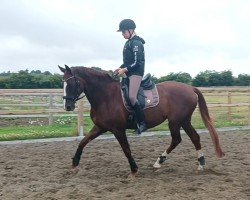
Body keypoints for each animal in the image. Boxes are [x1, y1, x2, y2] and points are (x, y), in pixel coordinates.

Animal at [58, 65, 225, 175]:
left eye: (72, 83)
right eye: (63, 83)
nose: (67, 106)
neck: (106, 97)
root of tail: (190, 88)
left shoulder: (118, 129)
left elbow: (126, 149)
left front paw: (134, 169)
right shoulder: (100, 128)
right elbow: (82, 142)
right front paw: (74, 163)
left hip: (175, 122)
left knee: (177, 139)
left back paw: (160, 161)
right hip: (184, 121)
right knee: (194, 138)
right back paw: (200, 164)